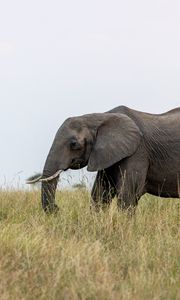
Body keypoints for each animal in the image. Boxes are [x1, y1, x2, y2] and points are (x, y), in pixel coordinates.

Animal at [26, 105, 180, 213]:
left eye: (74, 144)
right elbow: (100, 194)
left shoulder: (137, 152)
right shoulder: (107, 155)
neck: (101, 117)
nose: (58, 208)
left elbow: (128, 195)